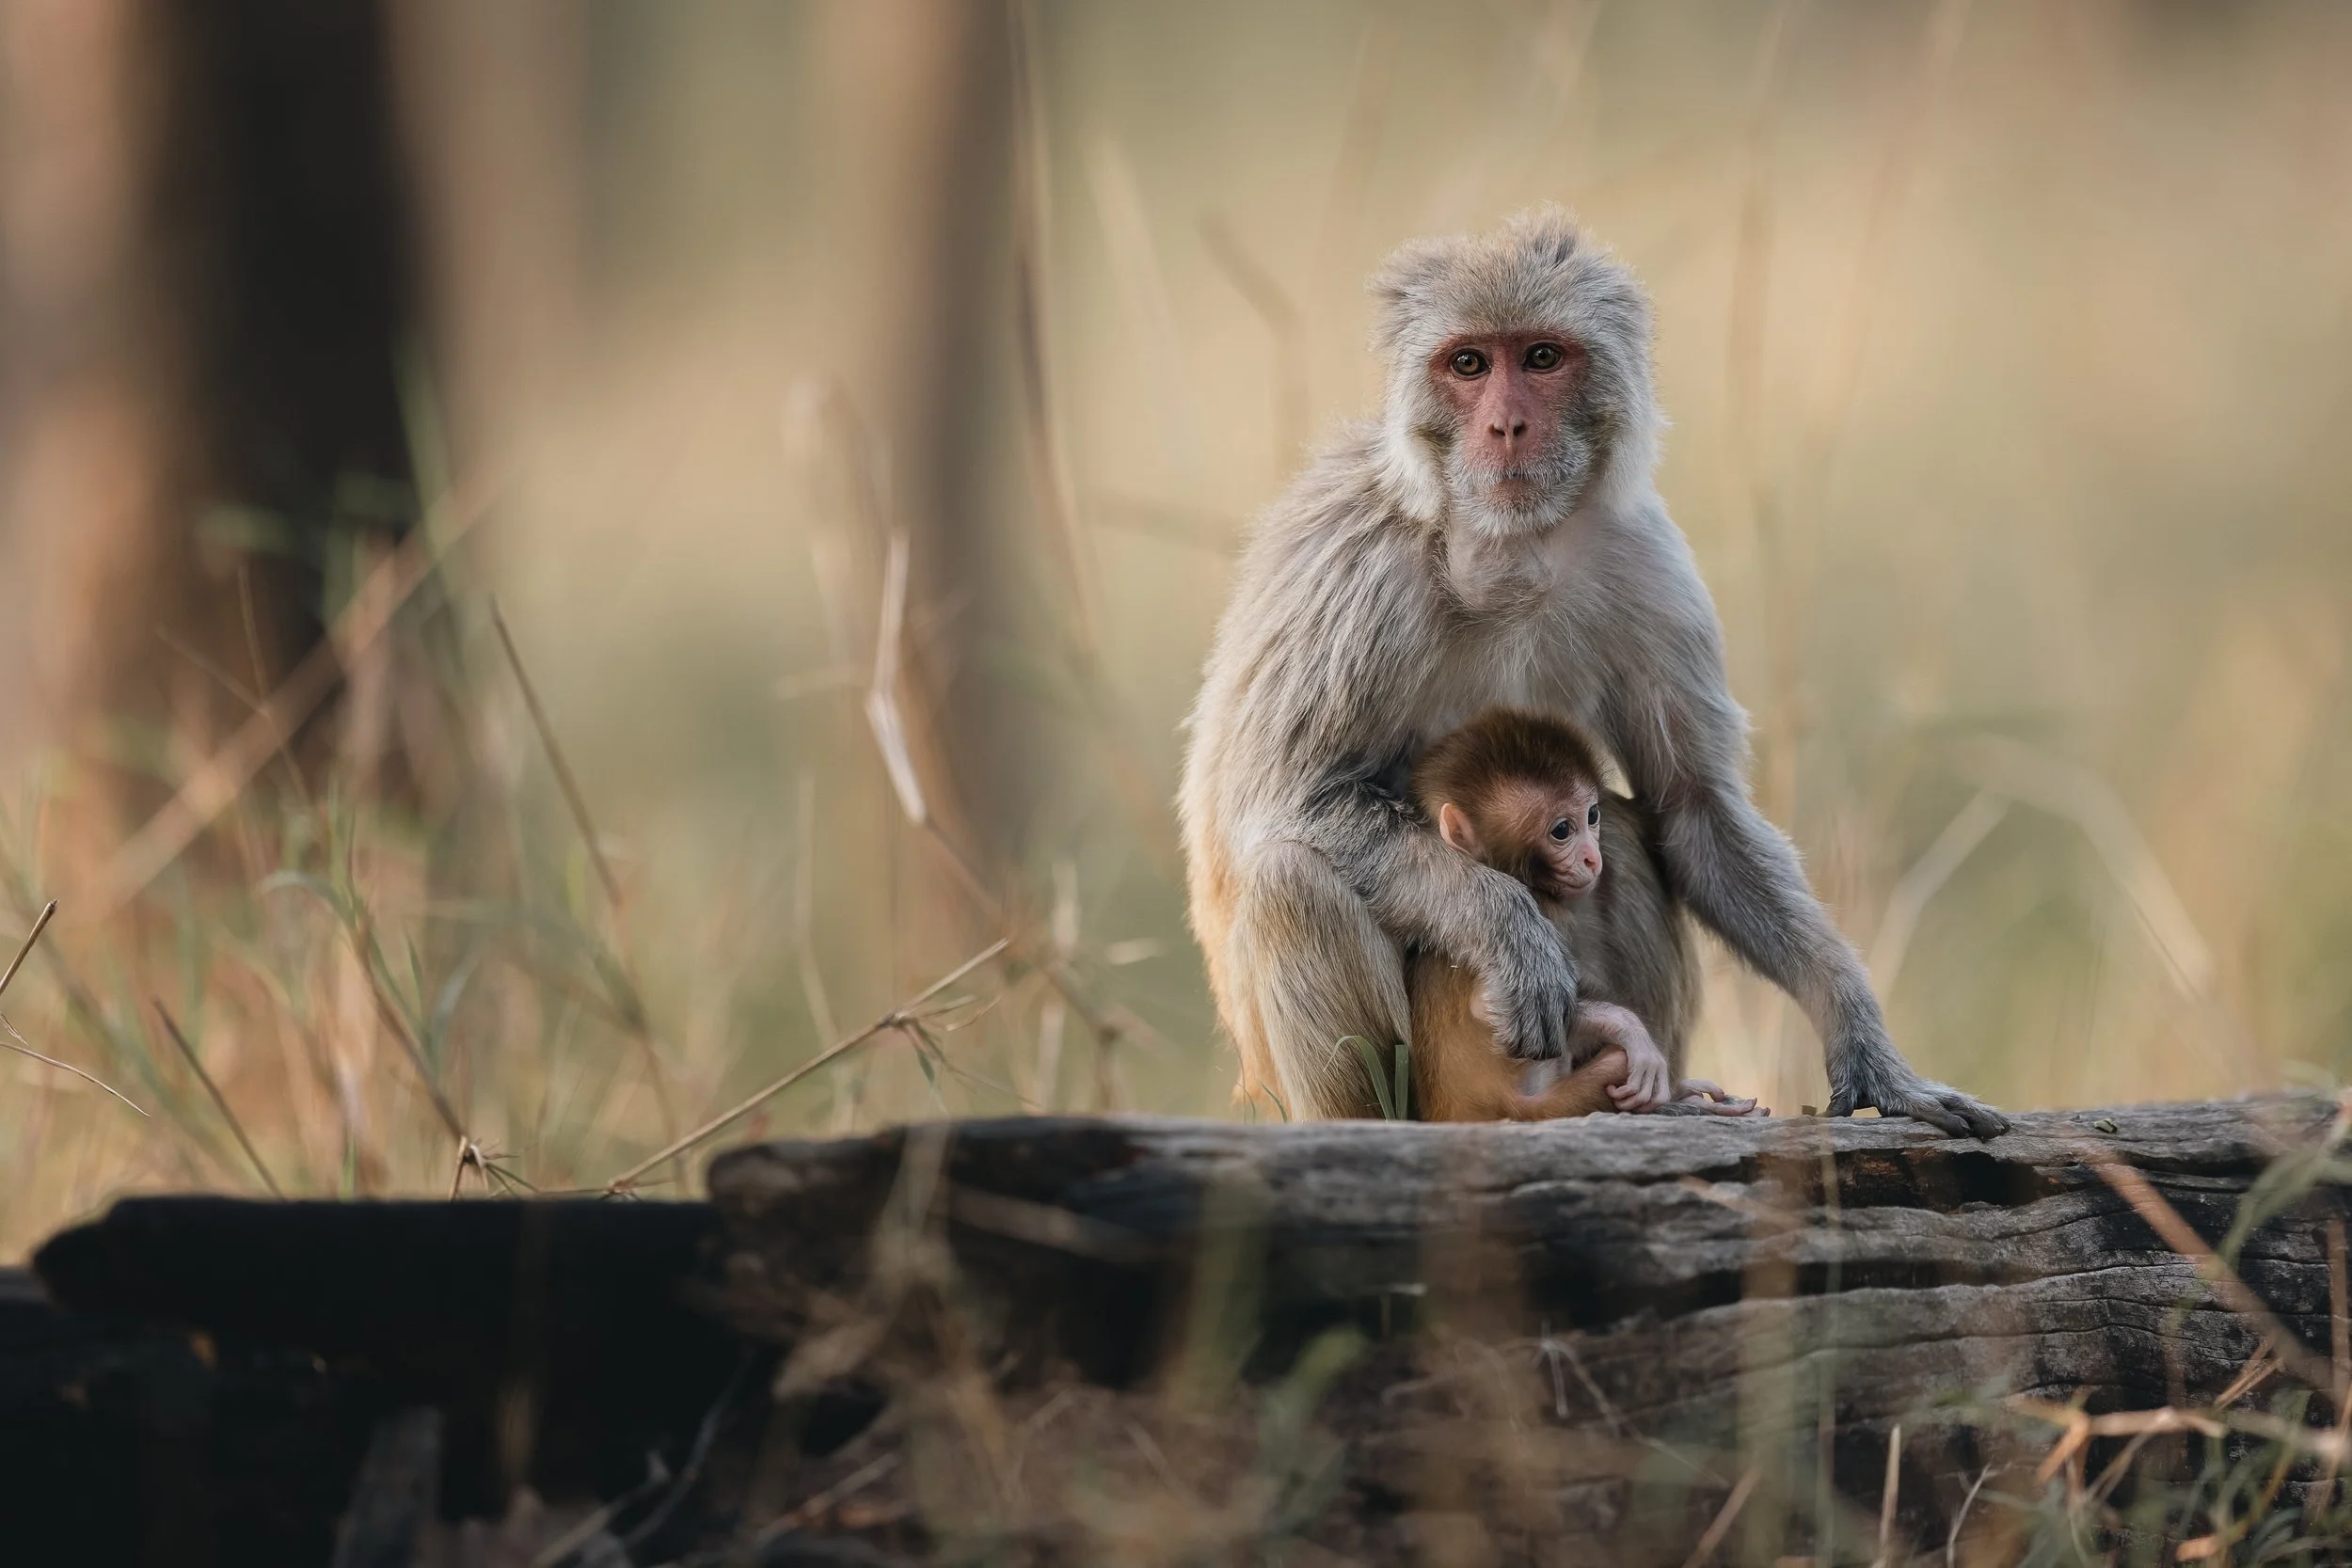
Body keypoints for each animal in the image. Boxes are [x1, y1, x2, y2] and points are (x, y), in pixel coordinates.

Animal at [1406, 707, 1761, 1122]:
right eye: (1562, 830)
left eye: (1592, 815)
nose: (1593, 856)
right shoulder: (1544, 910)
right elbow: (1491, 1006)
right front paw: (1630, 1030)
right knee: (1616, 1063)